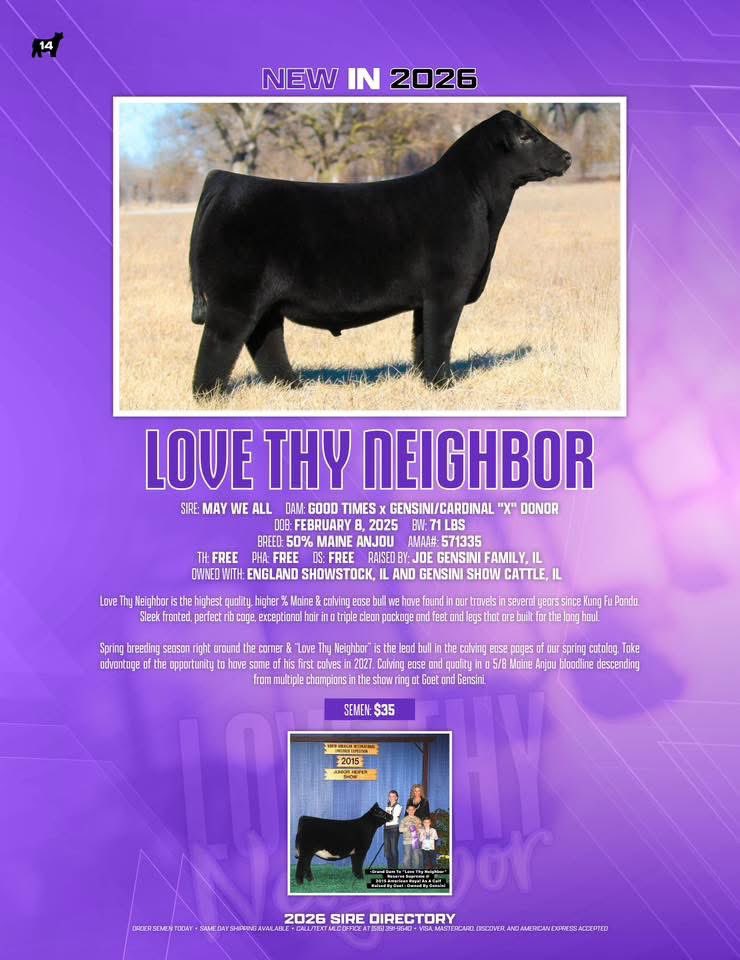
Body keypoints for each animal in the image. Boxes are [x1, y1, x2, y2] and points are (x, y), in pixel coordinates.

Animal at [188, 109, 572, 397]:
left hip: (264, 302)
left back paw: (292, 387)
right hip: (234, 298)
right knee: (219, 345)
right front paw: (443, 384)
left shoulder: (425, 298)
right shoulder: (447, 289)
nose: (567, 156)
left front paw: (425, 380)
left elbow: (422, 339)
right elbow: (441, 336)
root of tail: (225, 180)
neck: (480, 204)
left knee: (265, 341)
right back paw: (210, 396)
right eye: (526, 137)